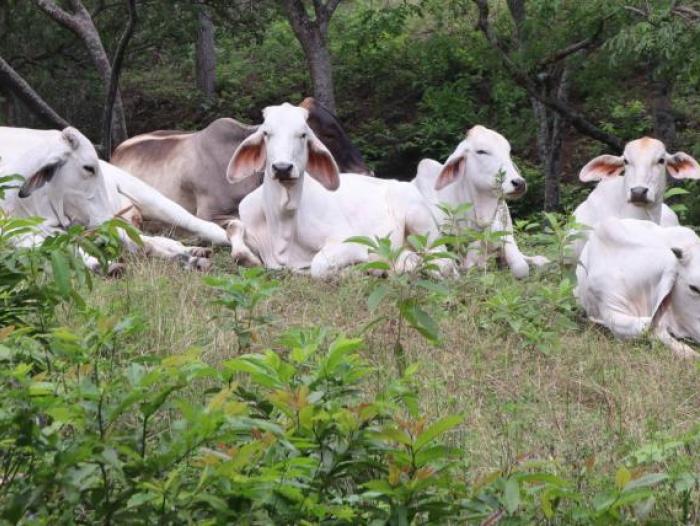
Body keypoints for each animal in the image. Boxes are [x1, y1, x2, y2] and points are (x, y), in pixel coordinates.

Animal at [0, 125, 230, 270]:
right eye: (88, 168)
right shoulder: (20, 232)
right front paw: (100, 265)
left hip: (141, 193)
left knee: (199, 224)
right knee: (148, 238)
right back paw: (192, 253)